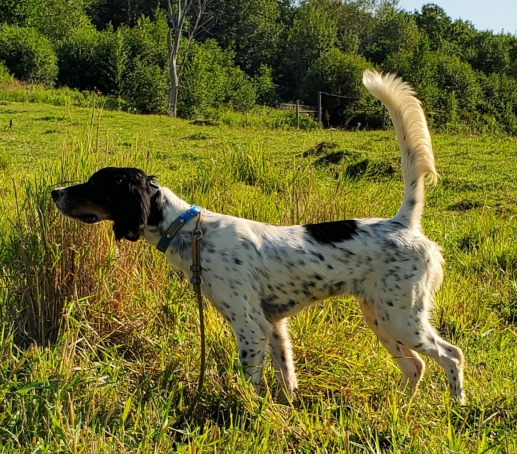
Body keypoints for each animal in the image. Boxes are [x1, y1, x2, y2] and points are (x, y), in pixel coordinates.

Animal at [51, 69, 464, 402]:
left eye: (95, 184)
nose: (55, 192)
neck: (187, 230)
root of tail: (403, 222)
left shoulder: (251, 326)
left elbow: (251, 383)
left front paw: (250, 414)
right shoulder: (275, 325)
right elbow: (287, 377)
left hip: (402, 317)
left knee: (451, 356)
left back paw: (456, 407)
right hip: (381, 316)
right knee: (415, 366)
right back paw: (401, 409)